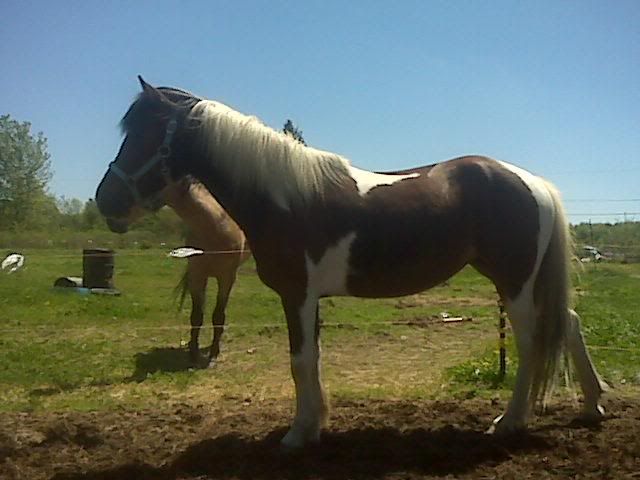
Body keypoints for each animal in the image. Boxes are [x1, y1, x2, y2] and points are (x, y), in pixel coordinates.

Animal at [164, 177, 250, 367]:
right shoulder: (197, 275)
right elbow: (196, 316)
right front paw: (193, 354)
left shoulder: (226, 278)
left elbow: (218, 315)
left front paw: (213, 354)